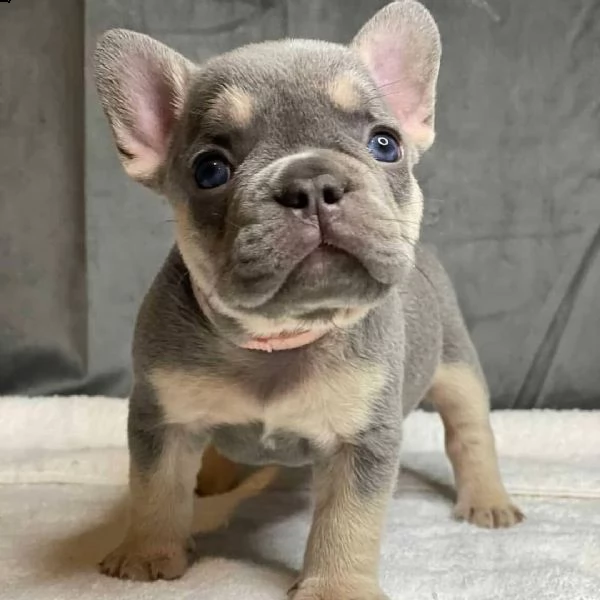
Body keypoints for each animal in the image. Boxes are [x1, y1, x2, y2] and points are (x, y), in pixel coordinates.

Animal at [96, 2, 524, 596]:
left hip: (456, 366)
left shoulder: (362, 442)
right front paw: (147, 555)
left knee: (470, 431)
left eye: (384, 144)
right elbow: (155, 488)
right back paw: (216, 475)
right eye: (210, 170)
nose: (313, 183)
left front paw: (336, 585)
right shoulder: (164, 416)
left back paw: (487, 500)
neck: (280, 336)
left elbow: (347, 521)